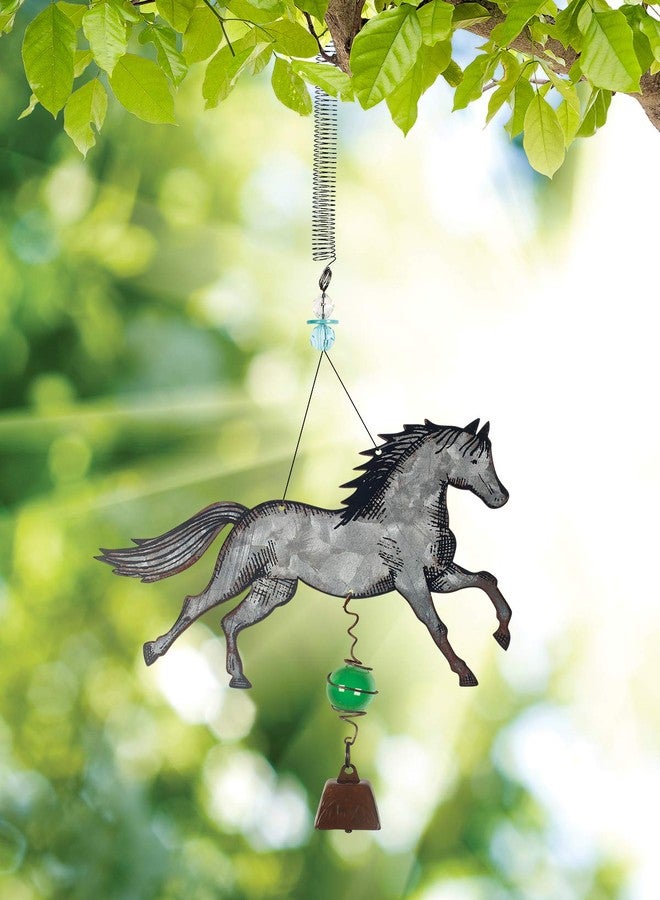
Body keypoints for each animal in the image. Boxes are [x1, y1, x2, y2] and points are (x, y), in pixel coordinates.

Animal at [97, 418, 510, 688]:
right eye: (475, 459)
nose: (501, 497)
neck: (404, 515)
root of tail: (244, 515)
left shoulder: (440, 575)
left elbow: (487, 580)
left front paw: (502, 636)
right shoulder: (411, 583)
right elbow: (437, 625)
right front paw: (466, 674)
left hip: (274, 589)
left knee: (231, 621)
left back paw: (239, 678)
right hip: (236, 573)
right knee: (195, 604)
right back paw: (153, 651)